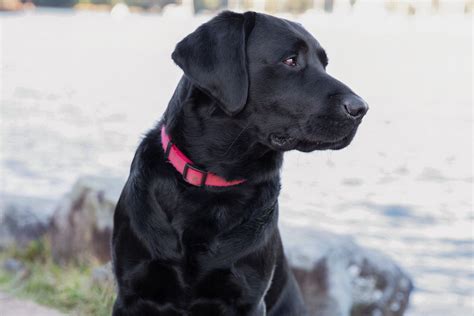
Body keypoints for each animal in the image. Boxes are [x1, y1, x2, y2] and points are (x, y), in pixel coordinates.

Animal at [111, 10, 366, 316]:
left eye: (324, 64)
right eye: (290, 60)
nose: (361, 108)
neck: (212, 185)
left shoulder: (247, 300)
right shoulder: (131, 294)